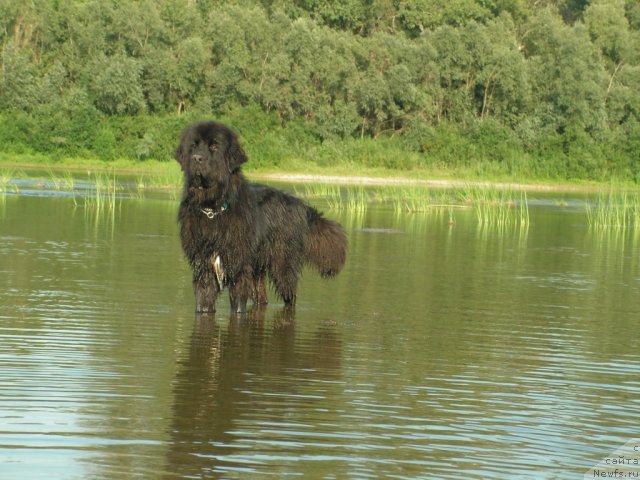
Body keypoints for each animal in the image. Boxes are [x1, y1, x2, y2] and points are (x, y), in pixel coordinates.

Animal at [174, 122, 344, 314]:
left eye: (214, 146)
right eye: (193, 146)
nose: (197, 158)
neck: (212, 209)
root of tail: (299, 204)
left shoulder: (239, 265)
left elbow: (238, 303)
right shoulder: (203, 265)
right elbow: (204, 301)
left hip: (282, 265)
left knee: (290, 296)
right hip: (258, 268)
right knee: (262, 297)